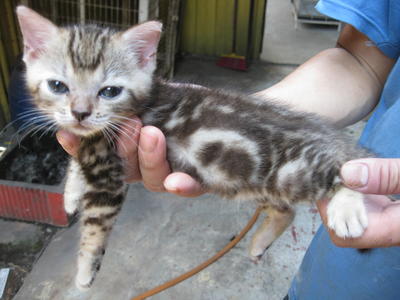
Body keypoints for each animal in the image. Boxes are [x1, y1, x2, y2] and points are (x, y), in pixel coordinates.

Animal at [18, 5, 368, 290]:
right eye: (58, 86)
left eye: (110, 91)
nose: (80, 113)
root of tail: (325, 134)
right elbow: (76, 160)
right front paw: (70, 193)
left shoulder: (107, 176)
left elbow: (94, 229)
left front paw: (84, 273)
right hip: (255, 184)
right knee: (287, 211)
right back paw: (260, 241)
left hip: (293, 172)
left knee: (344, 169)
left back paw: (347, 206)